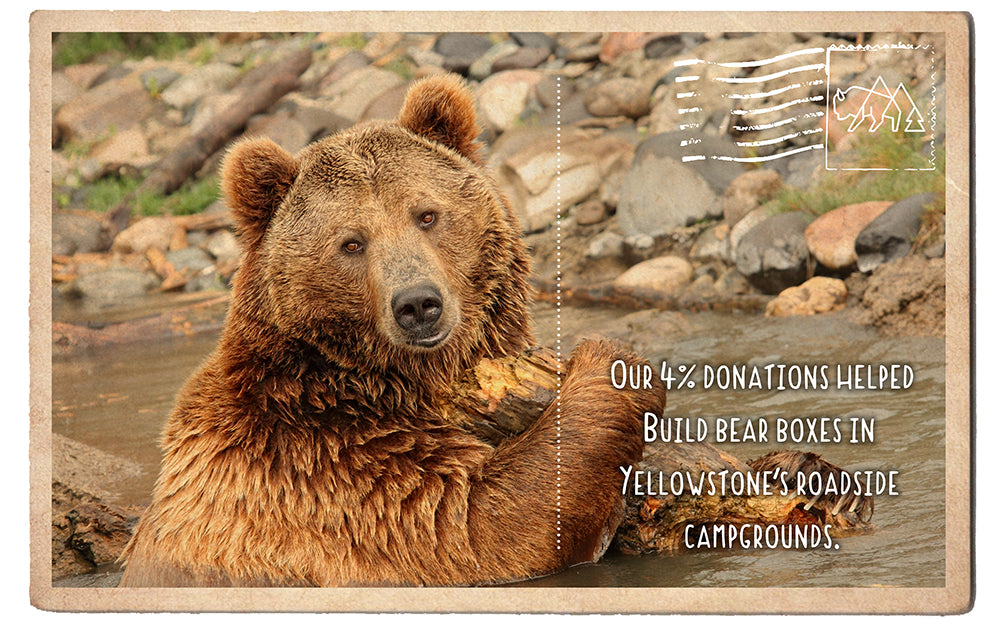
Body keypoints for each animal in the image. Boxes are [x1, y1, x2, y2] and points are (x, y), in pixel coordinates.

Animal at [119, 74, 666, 587]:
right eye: (351, 242)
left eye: (426, 214)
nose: (418, 304)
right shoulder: (316, 465)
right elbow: (473, 524)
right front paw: (612, 363)